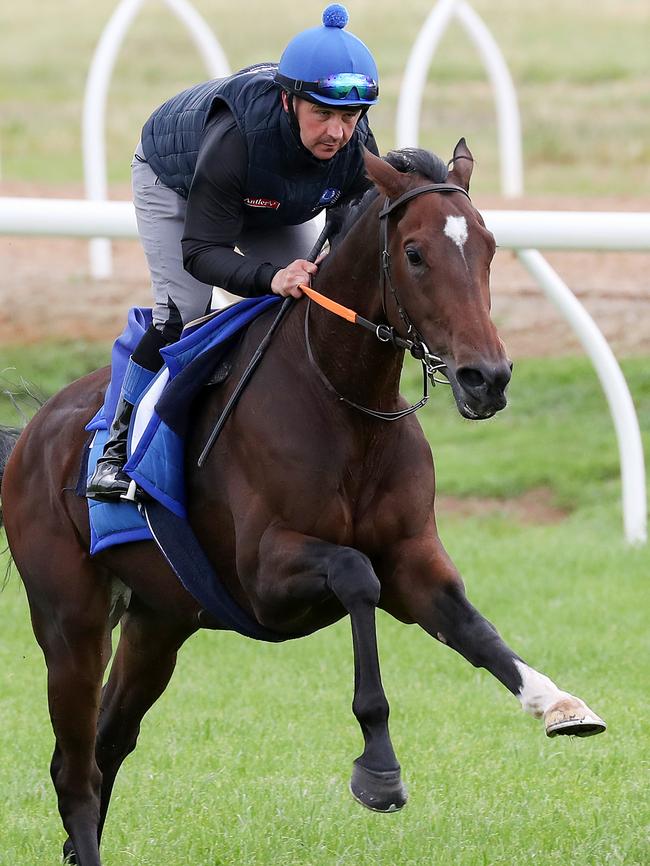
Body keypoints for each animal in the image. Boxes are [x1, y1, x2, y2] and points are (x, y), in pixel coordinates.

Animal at [0, 142, 604, 864]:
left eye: (487, 246)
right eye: (415, 252)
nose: (486, 378)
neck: (345, 403)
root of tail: (33, 434)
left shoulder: (414, 559)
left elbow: (475, 629)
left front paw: (560, 704)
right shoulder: (264, 577)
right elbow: (356, 575)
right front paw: (379, 769)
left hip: (158, 620)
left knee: (108, 742)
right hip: (70, 621)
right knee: (75, 767)